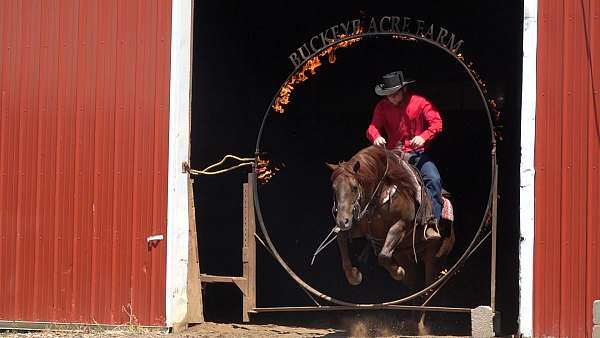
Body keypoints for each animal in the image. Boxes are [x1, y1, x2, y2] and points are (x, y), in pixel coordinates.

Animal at [328, 145, 454, 330]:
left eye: (354, 187)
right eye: (334, 188)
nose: (342, 221)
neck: (380, 196)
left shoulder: (401, 225)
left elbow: (383, 255)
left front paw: (397, 272)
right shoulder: (360, 227)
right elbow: (342, 238)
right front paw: (354, 276)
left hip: (435, 257)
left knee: (427, 287)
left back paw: (420, 324)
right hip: (405, 256)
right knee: (414, 287)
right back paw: (412, 320)